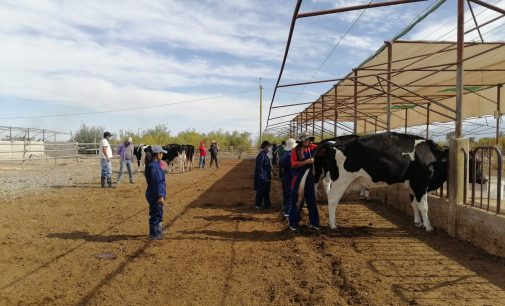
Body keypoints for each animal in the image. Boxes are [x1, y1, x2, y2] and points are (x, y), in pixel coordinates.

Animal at [314, 132, 446, 232]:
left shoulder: (412, 187)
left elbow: (414, 204)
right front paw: (428, 226)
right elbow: (424, 206)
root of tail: (334, 143)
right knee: (332, 198)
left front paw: (418, 222)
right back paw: (333, 225)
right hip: (341, 180)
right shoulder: (420, 184)